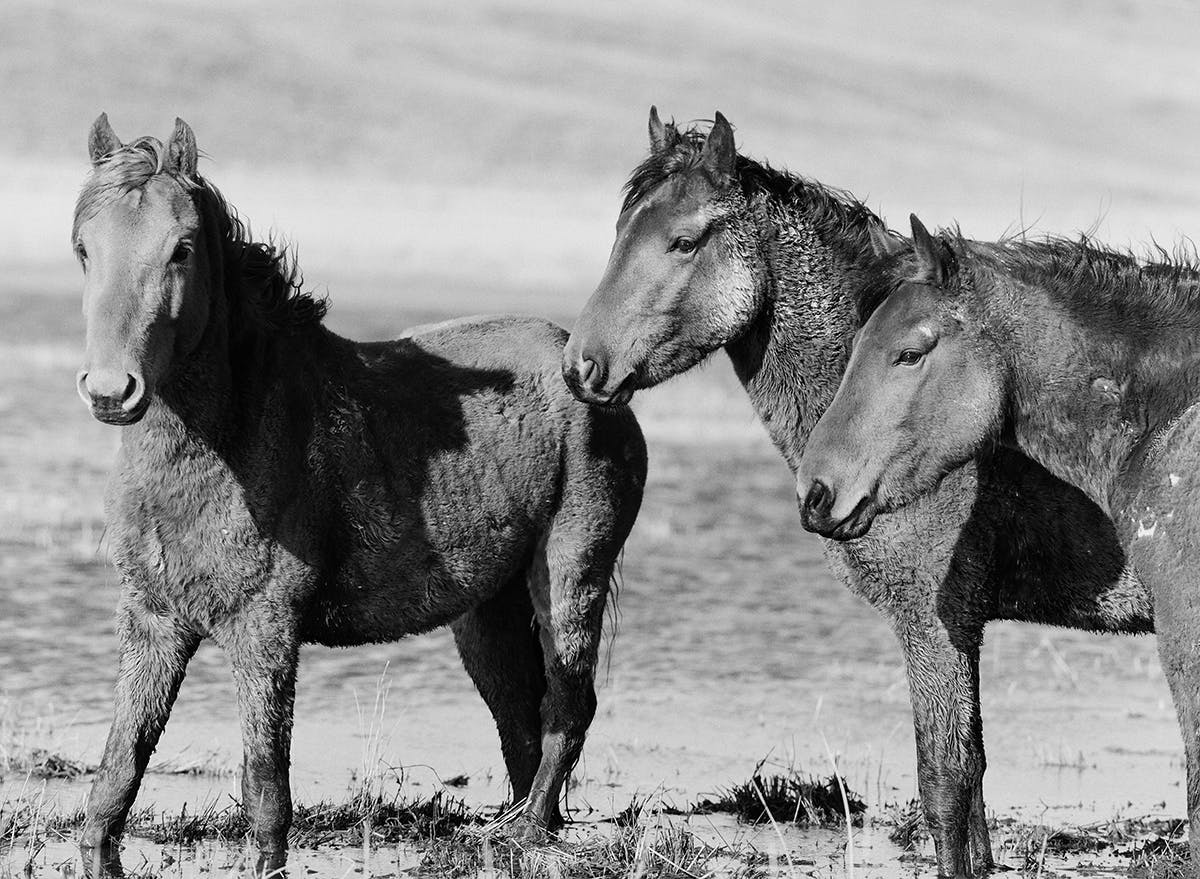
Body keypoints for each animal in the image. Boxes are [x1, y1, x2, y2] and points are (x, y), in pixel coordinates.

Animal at [70, 115, 652, 874]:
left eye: (182, 249)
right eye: (84, 247)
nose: (111, 391)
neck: (232, 432)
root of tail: (593, 377)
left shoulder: (265, 627)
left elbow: (265, 783)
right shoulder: (153, 621)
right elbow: (118, 770)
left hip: (571, 572)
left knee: (567, 706)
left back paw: (525, 836)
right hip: (487, 609)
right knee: (520, 717)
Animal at [561, 109, 1152, 879]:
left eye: (683, 240)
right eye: (620, 230)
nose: (581, 366)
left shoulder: (934, 623)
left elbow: (947, 784)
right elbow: (974, 793)